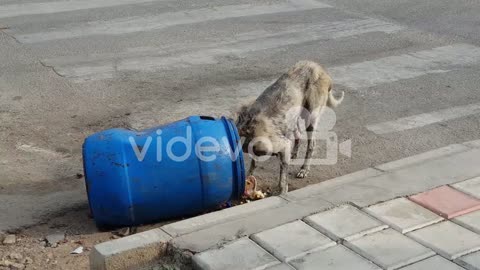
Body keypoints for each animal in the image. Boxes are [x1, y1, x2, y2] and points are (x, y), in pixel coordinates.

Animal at [234, 60, 344, 193]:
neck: (248, 127)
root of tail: (320, 68)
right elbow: (253, 165)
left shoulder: (281, 145)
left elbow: (282, 180)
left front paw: (282, 191)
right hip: (294, 117)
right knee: (298, 135)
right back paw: (295, 153)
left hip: (310, 118)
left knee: (311, 145)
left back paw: (304, 169)